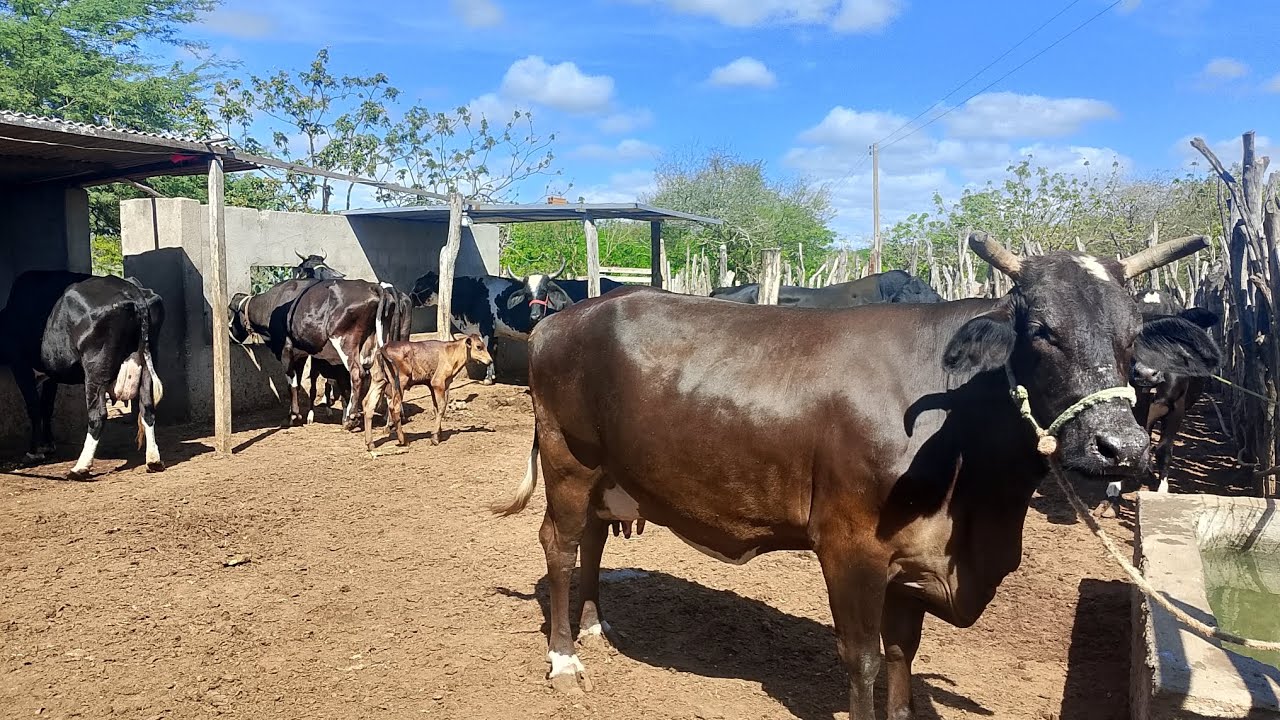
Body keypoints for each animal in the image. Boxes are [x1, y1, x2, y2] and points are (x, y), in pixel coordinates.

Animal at [0, 271, 165, 480]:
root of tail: (130, 290)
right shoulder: (52, 372)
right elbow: (47, 406)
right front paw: (48, 445)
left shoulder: (19, 363)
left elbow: (34, 407)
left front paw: (34, 452)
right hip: (147, 364)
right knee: (147, 408)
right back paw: (153, 460)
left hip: (95, 369)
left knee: (98, 414)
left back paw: (80, 468)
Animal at [362, 333, 493, 450]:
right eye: (479, 347)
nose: (490, 361)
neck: (451, 352)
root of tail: (384, 347)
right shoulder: (438, 382)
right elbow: (442, 406)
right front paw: (435, 438)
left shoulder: (432, 384)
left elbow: (436, 407)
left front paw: (439, 433)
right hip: (400, 382)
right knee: (394, 407)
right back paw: (403, 440)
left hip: (378, 380)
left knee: (368, 404)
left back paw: (370, 443)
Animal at [489, 234, 1219, 719]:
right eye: (1041, 330)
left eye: (1134, 334)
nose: (1120, 447)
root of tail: (563, 316)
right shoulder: (851, 549)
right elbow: (863, 658)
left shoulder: (911, 561)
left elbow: (901, 657)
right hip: (569, 461)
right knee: (560, 545)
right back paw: (565, 659)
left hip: (608, 474)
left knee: (592, 541)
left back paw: (593, 628)